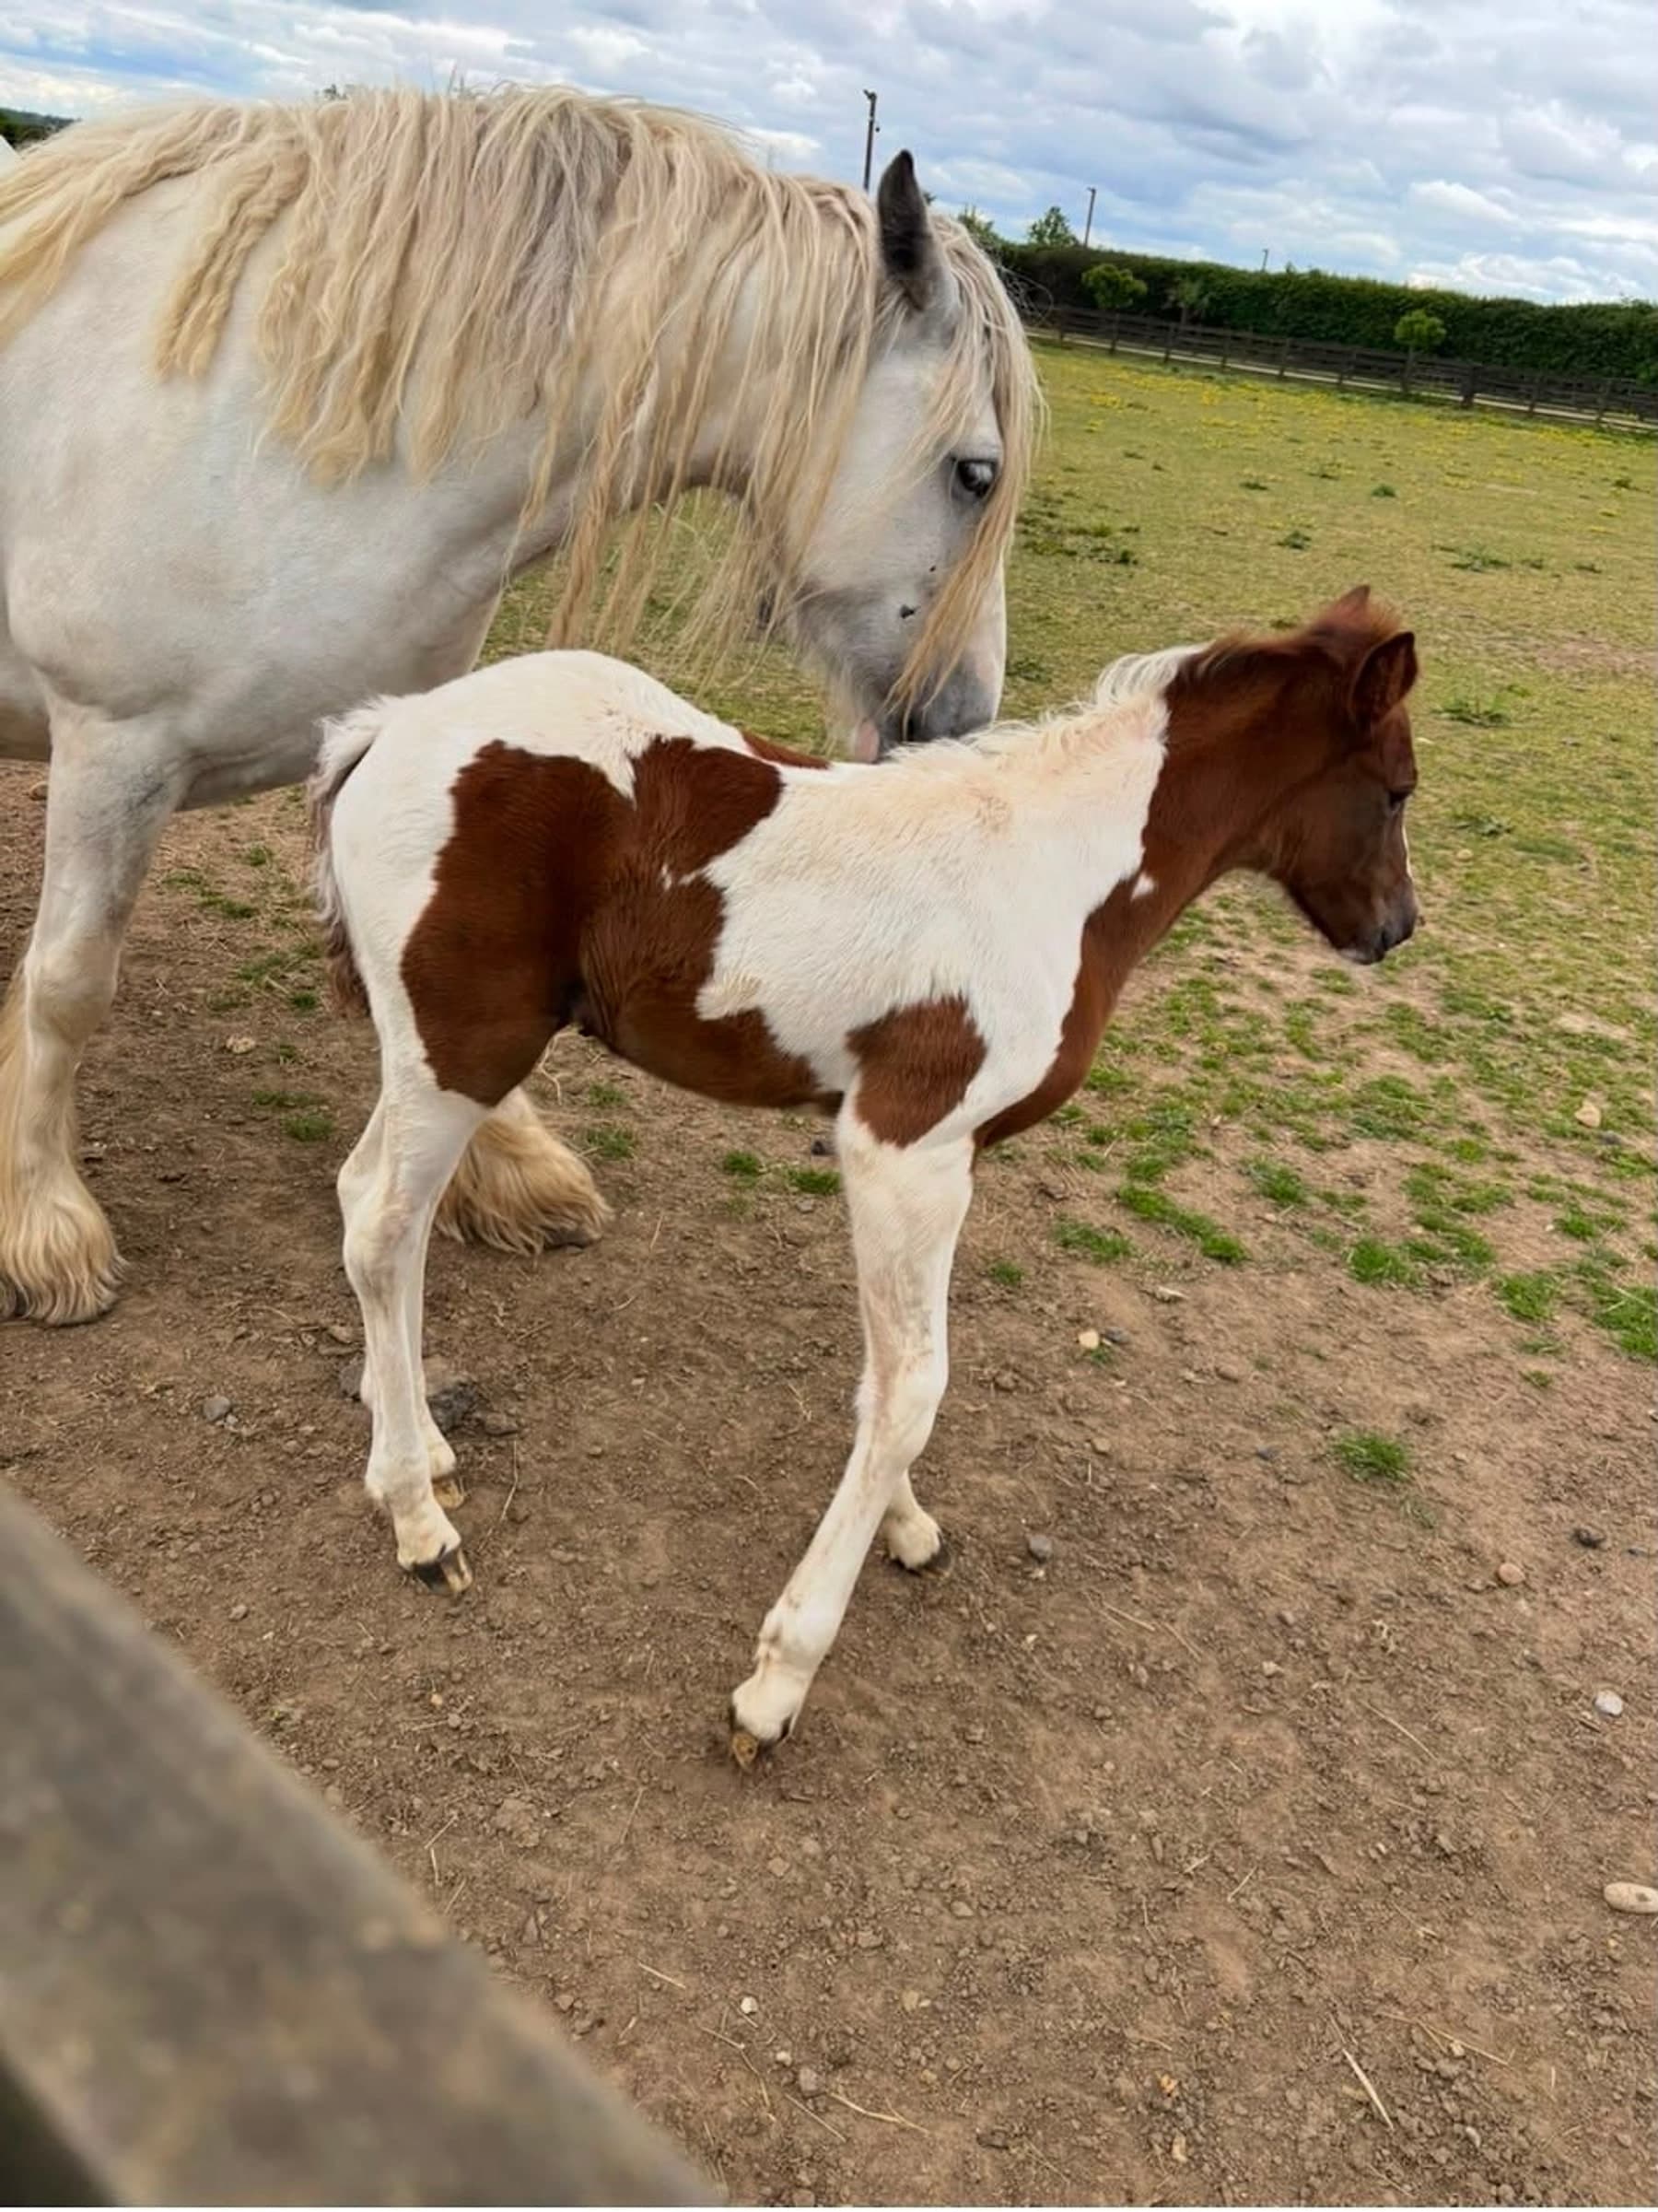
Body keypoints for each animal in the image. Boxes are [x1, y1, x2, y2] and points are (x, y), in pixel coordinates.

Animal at [0, 85, 1037, 1325]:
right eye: (974, 473)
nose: (962, 716)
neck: (265, 437)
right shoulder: (115, 750)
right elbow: (66, 986)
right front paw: (43, 1222)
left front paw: (510, 1172)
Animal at [312, 583, 1421, 1754]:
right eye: (1396, 791)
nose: (1396, 927)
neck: (1054, 875)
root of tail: (389, 729)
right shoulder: (907, 1146)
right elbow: (912, 1387)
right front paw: (779, 1676)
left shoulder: (916, 1158)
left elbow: (881, 1376)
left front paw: (906, 1522)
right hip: (466, 1048)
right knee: (384, 1227)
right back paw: (418, 1519)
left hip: (437, 1056)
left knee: (367, 1202)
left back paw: (421, 1441)